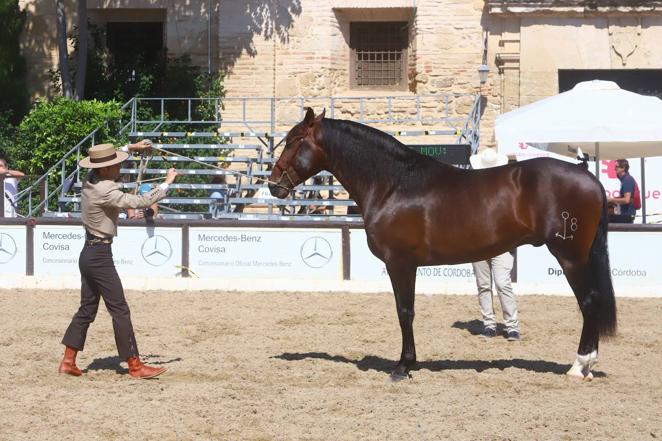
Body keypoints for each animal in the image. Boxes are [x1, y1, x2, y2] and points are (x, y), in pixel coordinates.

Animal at [268, 108, 616, 380]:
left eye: (295, 141)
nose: (273, 185)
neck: (394, 184)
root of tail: (589, 177)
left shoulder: (400, 263)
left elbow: (404, 311)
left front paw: (403, 366)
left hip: (570, 257)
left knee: (589, 302)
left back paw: (579, 366)